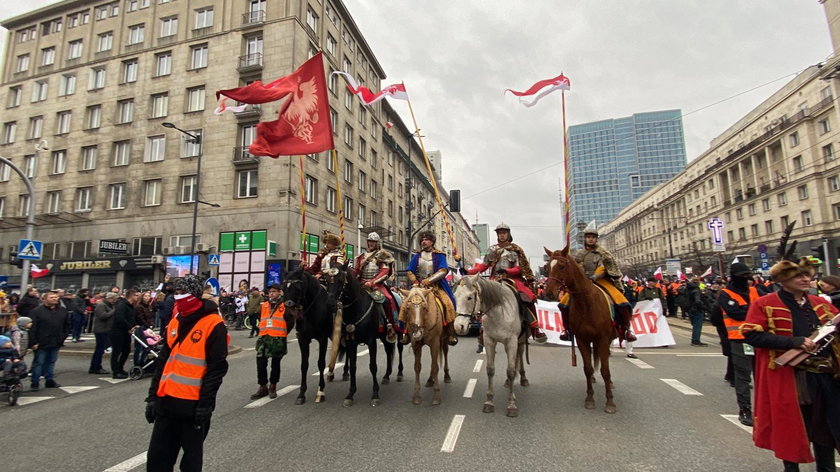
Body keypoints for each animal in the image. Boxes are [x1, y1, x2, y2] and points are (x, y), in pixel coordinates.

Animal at [282, 268, 334, 404]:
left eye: (298, 287)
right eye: (283, 287)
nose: (288, 314)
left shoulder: (322, 339)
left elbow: (321, 363)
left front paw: (320, 391)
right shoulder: (303, 339)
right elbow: (304, 365)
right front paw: (301, 394)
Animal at [330, 266, 406, 406]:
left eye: (341, 280)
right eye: (327, 279)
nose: (331, 304)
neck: (356, 309)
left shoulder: (371, 341)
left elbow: (373, 366)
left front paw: (375, 394)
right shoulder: (351, 341)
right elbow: (353, 366)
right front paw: (350, 394)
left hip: (398, 331)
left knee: (399, 348)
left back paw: (399, 373)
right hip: (384, 336)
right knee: (388, 351)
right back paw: (387, 375)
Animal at [452, 276, 524, 416]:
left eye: (469, 297)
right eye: (455, 296)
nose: (458, 327)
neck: (499, 312)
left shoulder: (512, 342)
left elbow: (511, 371)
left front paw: (511, 404)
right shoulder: (489, 341)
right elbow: (490, 370)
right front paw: (489, 402)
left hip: (520, 340)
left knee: (520, 355)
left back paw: (523, 378)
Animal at [544, 247, 616, 412]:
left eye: (562, 266)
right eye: (547, 267)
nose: (548, 293)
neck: (587, 303)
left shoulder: (603, 338)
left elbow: (605, 371)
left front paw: (610, 402)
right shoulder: (582, 339)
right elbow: (587, 368)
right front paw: (589, 398)